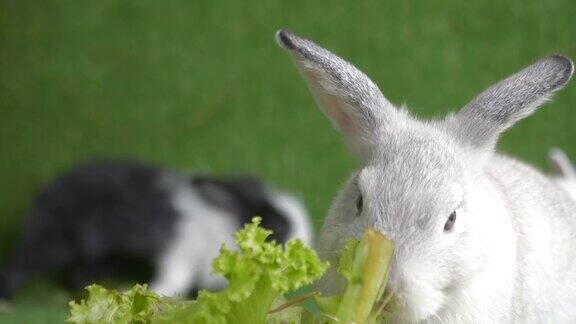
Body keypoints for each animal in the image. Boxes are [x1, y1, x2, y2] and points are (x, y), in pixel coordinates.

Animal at [0, 161, 312, 300]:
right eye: (278, 224)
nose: (306, 241)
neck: (223, 227)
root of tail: (45, 192)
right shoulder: (179, 256)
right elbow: (172, 280)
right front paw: (154, 295)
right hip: (53, 240)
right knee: (22, 263)